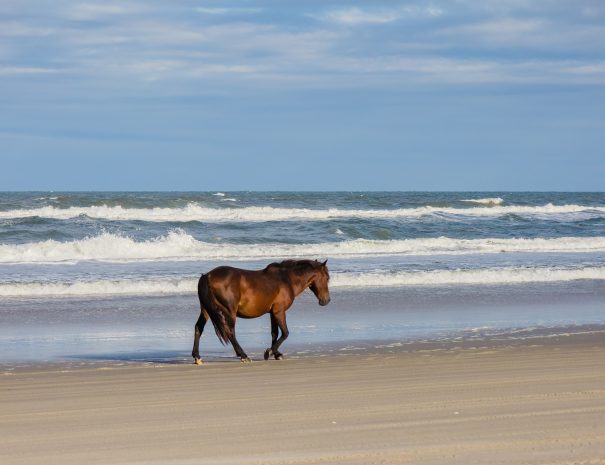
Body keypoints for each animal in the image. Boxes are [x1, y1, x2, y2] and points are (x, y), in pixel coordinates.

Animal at [191, 258, 330, 362]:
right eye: (327, 278)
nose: (326, 300)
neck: (286, 280)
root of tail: (207, 276)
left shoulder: (272, 313)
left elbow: (275, 333)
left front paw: (276, 353)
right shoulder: (279, 311)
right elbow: (285, 333)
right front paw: (270, 352)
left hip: (206, 310)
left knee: (198, 328)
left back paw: (197, 356)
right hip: (229, 311)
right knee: (230, 332)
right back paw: (243, 355)